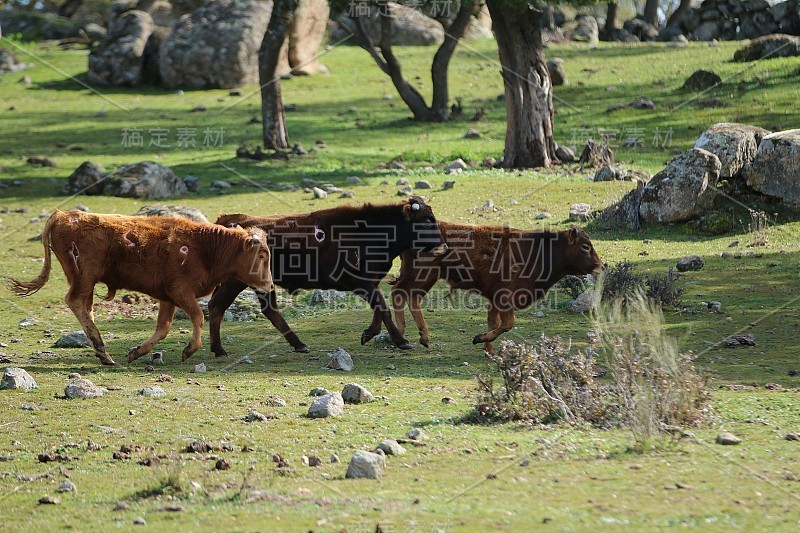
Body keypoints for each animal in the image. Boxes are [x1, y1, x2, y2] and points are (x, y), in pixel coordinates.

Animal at [8, 210, 276, 364]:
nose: (269, 284)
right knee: (75, 302)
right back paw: (102, 349)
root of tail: (64, 214)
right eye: (262, 255)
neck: (205, 247)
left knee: (85, 307)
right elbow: (198, 316)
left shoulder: (168, 296)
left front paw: (137, 351)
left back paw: (101, 352)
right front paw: (190, 349)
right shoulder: (181, 291)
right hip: (85, 277)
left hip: (87, 281)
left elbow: (163, 328)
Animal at [390, 221, 604, 354]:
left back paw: (420, 337)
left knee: (410, 297)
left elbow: (493, 322)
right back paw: (403, 335)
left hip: (425, 277)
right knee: (400, 293)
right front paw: (479, 339)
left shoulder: (494, 299)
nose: (601, 266)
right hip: (422, 275)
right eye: (585, 246)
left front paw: (489, 350)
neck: (541, 249)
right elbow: (507, 324)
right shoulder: (504, 297)